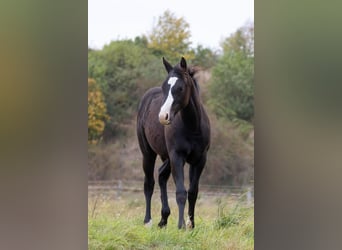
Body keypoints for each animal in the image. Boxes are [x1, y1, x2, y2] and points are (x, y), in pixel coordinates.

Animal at [137, 56, 211, 229]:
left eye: (180, 88)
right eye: (165, 86)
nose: (163, 116)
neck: (193, 127)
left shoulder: (199, 159)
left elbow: (192, 192)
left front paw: (190, 224)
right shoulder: (177, 156)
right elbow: (180, 192)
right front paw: (181, 226)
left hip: (167, 158)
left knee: (161, 176)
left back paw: (163, 219)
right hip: (148, 153)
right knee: (149, 183)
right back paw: (148, 221)